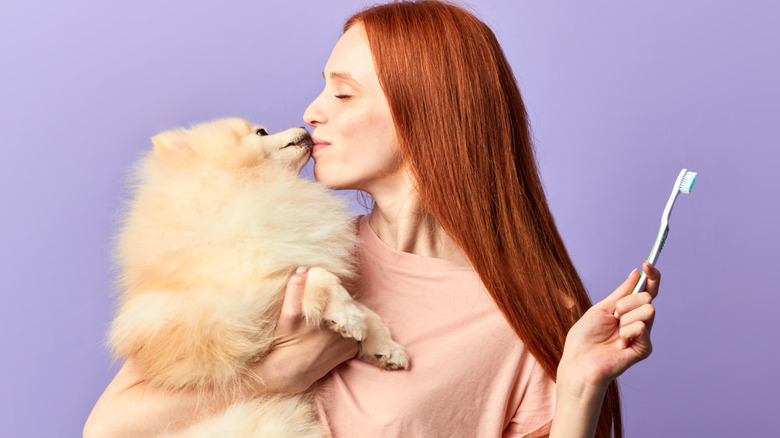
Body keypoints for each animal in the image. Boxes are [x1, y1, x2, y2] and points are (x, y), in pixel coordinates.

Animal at [112, 118, 412, 436]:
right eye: (261, 132)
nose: (305, 127)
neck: (250, 185)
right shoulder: (239, 312)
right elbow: (320, 275)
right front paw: (346, 317)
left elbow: (368, 311)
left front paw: (385, 347)